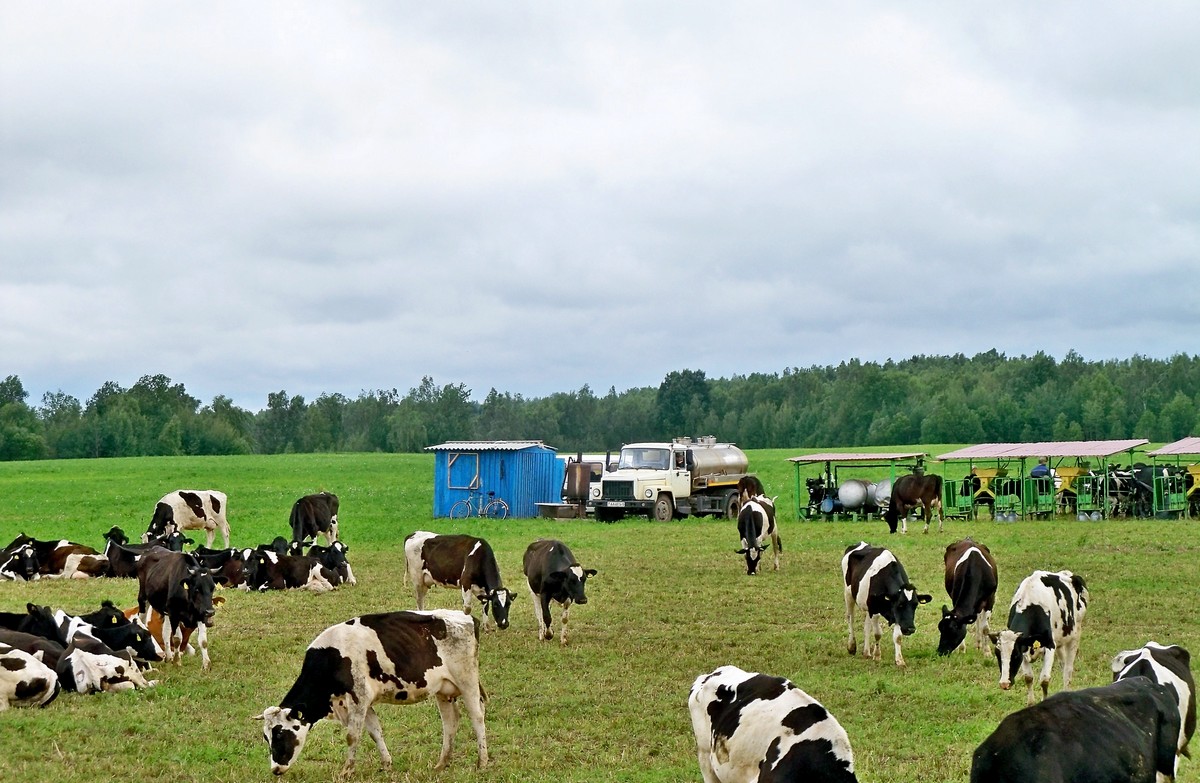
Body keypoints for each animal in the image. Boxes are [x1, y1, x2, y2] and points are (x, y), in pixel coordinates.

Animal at [255, 607, 489, 773]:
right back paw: (441, 764)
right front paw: (386, 764)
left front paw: (346, 771)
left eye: (280, 734)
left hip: (467, 680)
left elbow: (352, 736)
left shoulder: (359, 698)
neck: (332, 659)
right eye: (266, 737)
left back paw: (482, 762)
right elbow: (375, 732)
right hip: (443, 690)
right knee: (450, 722)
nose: (275, 769)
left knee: (477, 717)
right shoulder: (363, 703)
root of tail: (467, 617)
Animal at [988, 569, 1094, 701]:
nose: (1004, 683)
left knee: (1068, 670)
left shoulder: (1049, 645)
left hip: (1075, 635)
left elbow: (1044, 680)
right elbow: (1028, 677)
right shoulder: (1025, 646)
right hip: (1060, 640)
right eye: (997, 654)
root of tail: (1068, 573)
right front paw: (1030, 703)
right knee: (1063, 665)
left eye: (1016, 655)